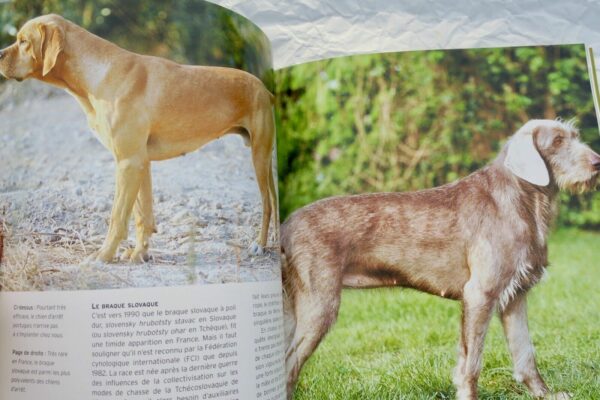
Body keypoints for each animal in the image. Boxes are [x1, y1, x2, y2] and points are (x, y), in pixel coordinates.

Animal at [0, 14, 276, 262]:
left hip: (259, 157)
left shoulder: (128, 163)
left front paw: (104, 255)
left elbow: (117, 217)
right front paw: (139, 254)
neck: (100, 73)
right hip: (264, 159)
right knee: (274, 200)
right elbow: (142, 216)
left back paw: (260, 245)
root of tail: (264, 89)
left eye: (23, 41)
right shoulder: (140, 164)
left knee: (267, 204)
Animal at [282, 119, 600, 400]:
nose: (597, 162)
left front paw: (545, 394)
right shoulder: (479, 294)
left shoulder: (515, 296)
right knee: (288, 365)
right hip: (319, 306)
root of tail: (284, 228)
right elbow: (471, 363)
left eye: (574, 136)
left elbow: (525, 353)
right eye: (557, 141)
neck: (524, 200)